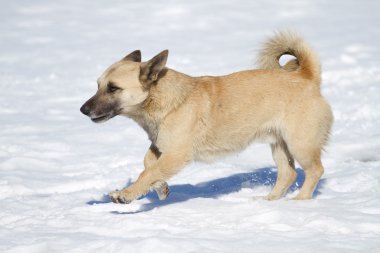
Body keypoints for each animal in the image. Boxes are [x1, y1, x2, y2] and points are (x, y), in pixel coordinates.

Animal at [80, 31, 332, 204]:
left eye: (113, 88)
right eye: (98, 85)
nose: (83, 109)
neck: (167, 100)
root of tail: (307, 77)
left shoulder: (176, 154)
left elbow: (148, 171)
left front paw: (127, 194)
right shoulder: (162, 147)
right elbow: (148, 164)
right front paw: (160, 187)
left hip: (300, 143)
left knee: (315, 171)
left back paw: (300, 201)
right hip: (279, 144)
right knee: (288, 174)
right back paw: (269, 201)